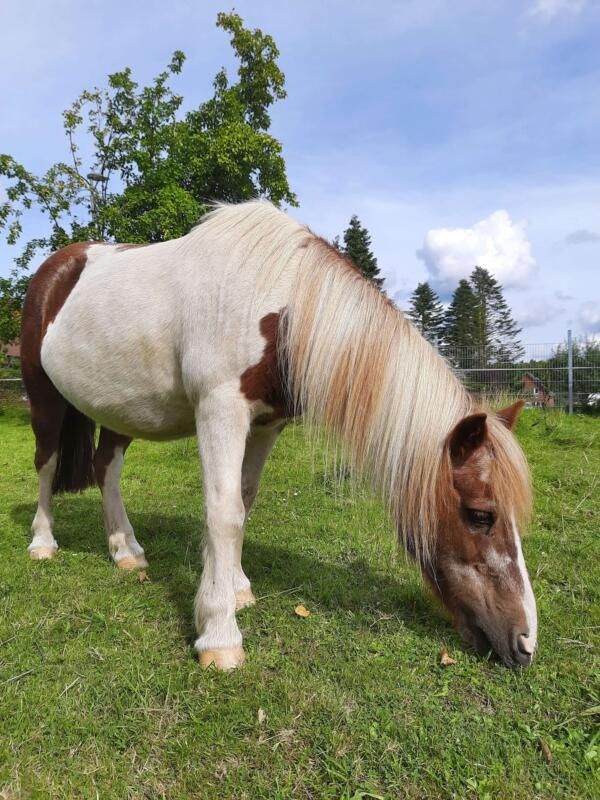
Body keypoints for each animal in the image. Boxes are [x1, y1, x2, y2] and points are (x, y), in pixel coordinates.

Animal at [20, 201, 537, 671]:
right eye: (480, 514)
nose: (524, 643)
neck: (280, 306)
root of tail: (54, 270)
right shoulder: (220, 409)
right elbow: (223, 513)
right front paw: (219, 634)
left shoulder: (266, 423)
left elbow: (244, 502)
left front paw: (238, 588)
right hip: (44, 398)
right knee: (47, 463)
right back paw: (43, 543)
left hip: (118, 411)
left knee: (106, 468)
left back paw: (125, 550)